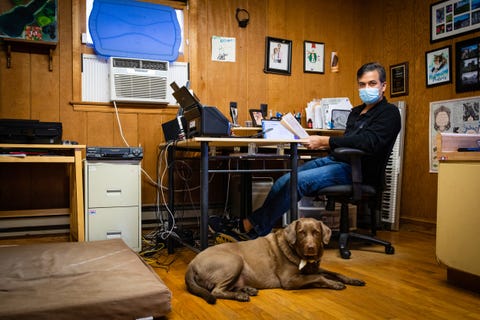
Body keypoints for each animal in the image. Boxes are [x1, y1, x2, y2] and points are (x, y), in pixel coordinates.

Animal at [184, 216, 364, 304]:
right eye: (301, 233)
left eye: (316, 232)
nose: (311, 248)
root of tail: (191, 264)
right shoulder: (290, 280)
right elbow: (319, 277)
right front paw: (334, 284)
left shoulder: (314, 268)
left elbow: (334, 272)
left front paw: (353, 280)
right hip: (234, 261)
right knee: (216, 290)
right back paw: (241, 296)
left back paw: (247, 290)